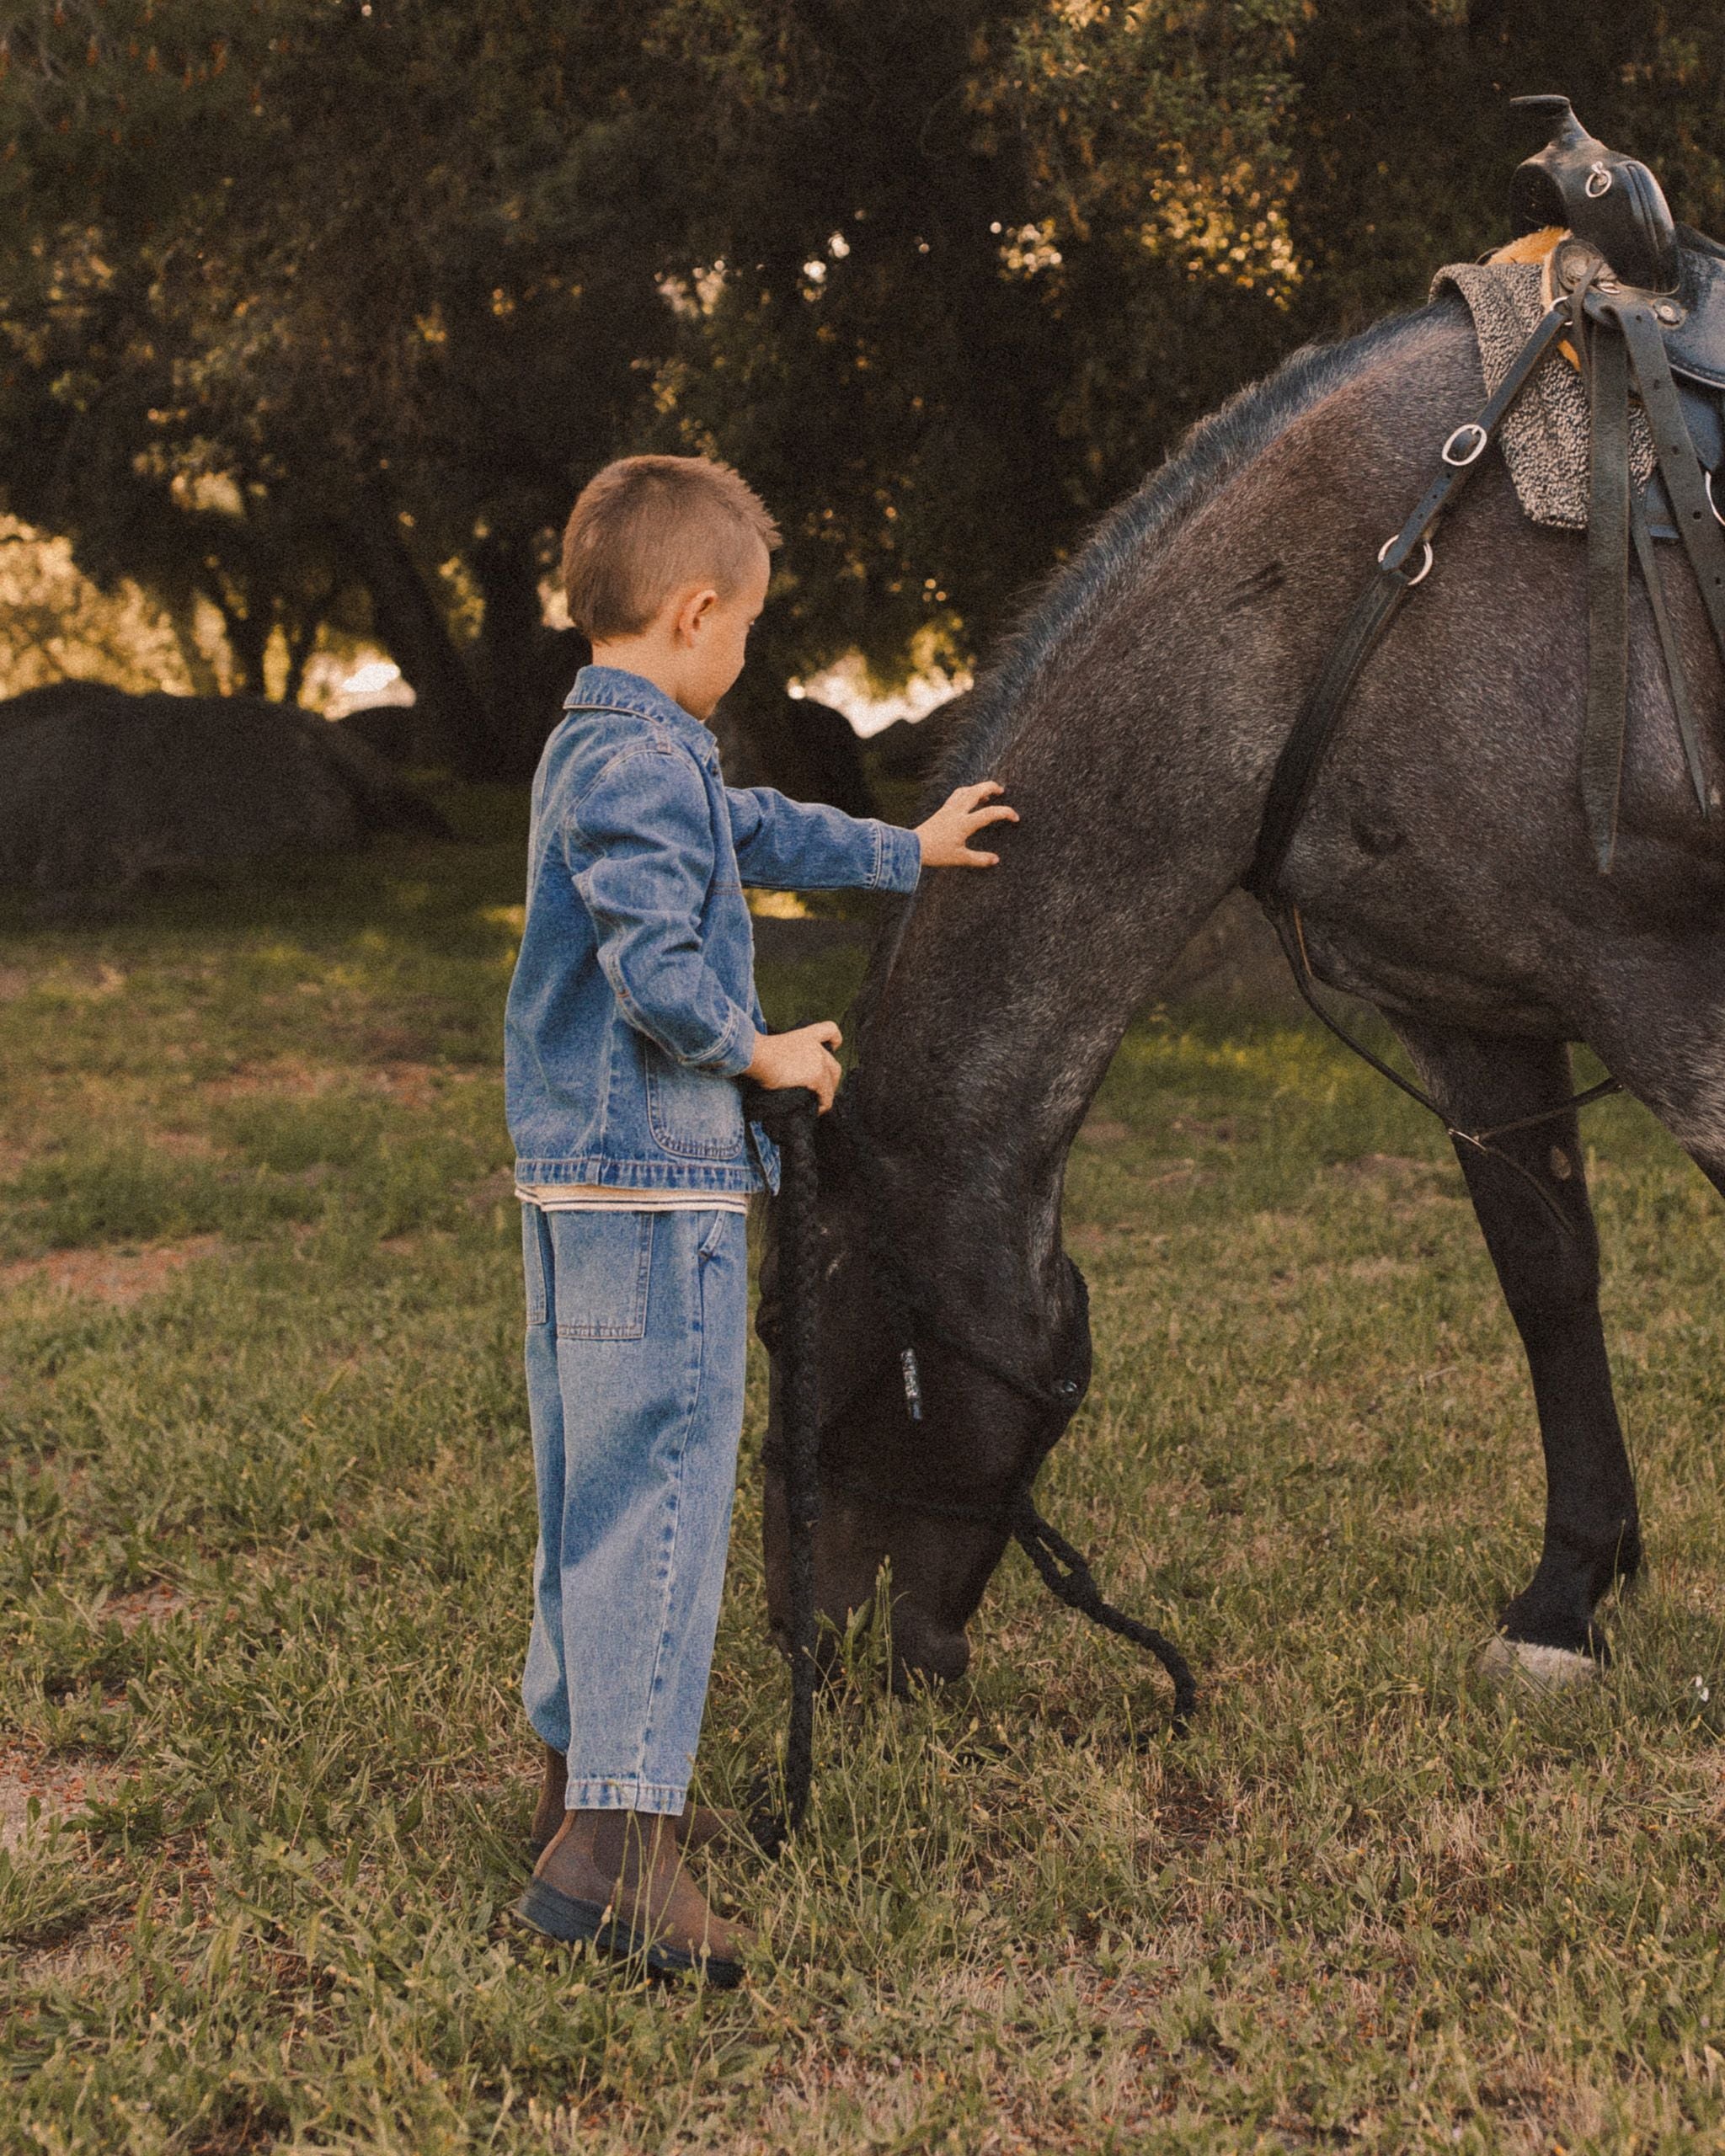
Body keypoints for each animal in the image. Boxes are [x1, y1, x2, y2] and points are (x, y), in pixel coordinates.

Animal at [759, 282, 1725, 1699]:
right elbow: (1547, 1277)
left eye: (796, 1331)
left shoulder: (1661, 985)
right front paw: (1567, 1593)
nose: (804, 1638)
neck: (1353, 596)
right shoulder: (1471, 1008)